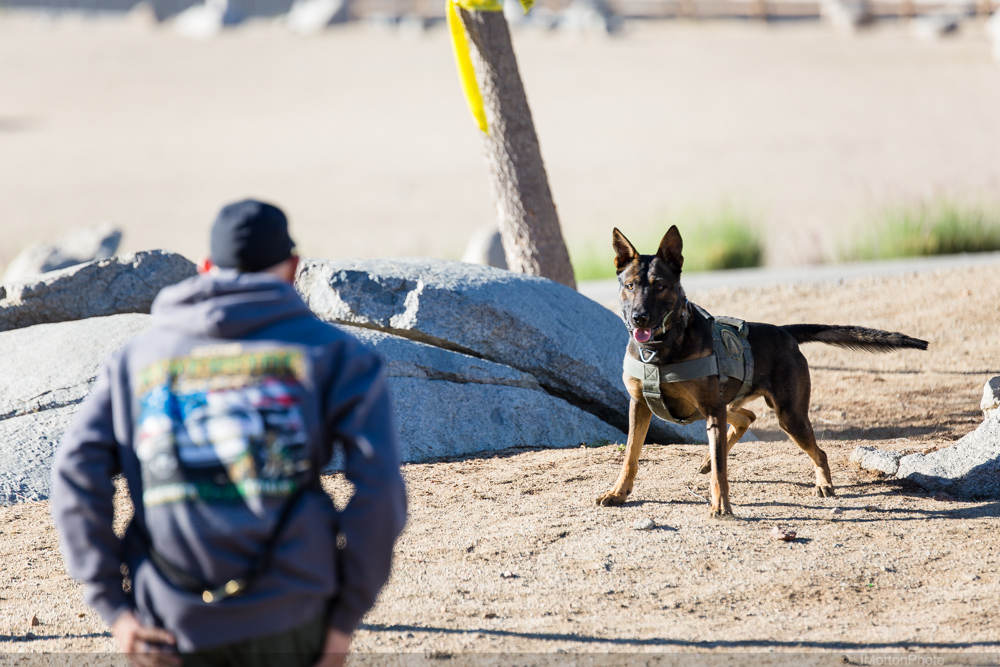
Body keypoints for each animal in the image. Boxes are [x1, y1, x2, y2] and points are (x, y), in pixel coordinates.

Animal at [595, 226, 928, 517]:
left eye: (661, 286)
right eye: (629, 286)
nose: (639, 318)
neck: (662, 347)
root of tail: (784, 331)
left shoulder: (712, 409)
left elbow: (722, 471)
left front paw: (721, 506)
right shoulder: (640, 405)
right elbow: (630, 456)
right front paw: (618, 493)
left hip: (788, 416)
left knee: (816, 451)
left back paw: (823, 483)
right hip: (726, 406)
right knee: (746, 418)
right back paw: (710, 459)